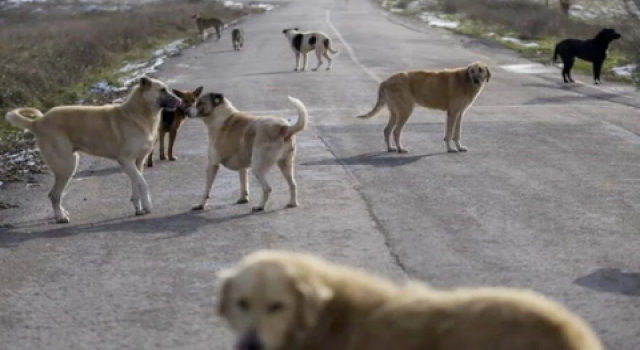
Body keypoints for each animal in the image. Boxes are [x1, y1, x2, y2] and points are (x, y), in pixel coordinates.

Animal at [4, 77, 180, 224]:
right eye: (162, 90)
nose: (180, 102)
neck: (137, 114)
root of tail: (38, 122)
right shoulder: (125, 160)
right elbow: (142, 183)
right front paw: (148, 206)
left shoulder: (137, 161)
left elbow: (136, 184)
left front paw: (139, 208)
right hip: (67, 166)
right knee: (53, 195)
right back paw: (60, 217)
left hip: (68, 166)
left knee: (56, 195)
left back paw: (63, 213)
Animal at [358, 61, 492, 153]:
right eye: (472, 71)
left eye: (480, 70)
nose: (475, 80)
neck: (466, 81)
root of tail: (385, 81)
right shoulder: (452, 113)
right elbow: (449, 134)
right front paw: (450, 149)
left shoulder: (459, 114)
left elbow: (457, 134)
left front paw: (459, 147)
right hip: (405, 110)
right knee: (396, 131)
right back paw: (400, 148)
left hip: (395, 112)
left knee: (387, 130)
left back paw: (391, 148)